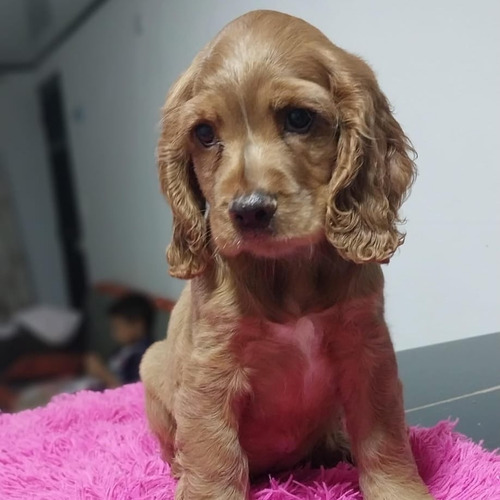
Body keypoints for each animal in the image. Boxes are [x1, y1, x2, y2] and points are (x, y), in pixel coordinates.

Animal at [141, 8, 434, 500]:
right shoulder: (209, 370)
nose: (249, 211)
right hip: (152, 366)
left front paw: (400, 490)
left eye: (299, 118)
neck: (289, 269)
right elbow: (213, 453)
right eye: (204, 133)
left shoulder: (367, 350)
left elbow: (384, 438)